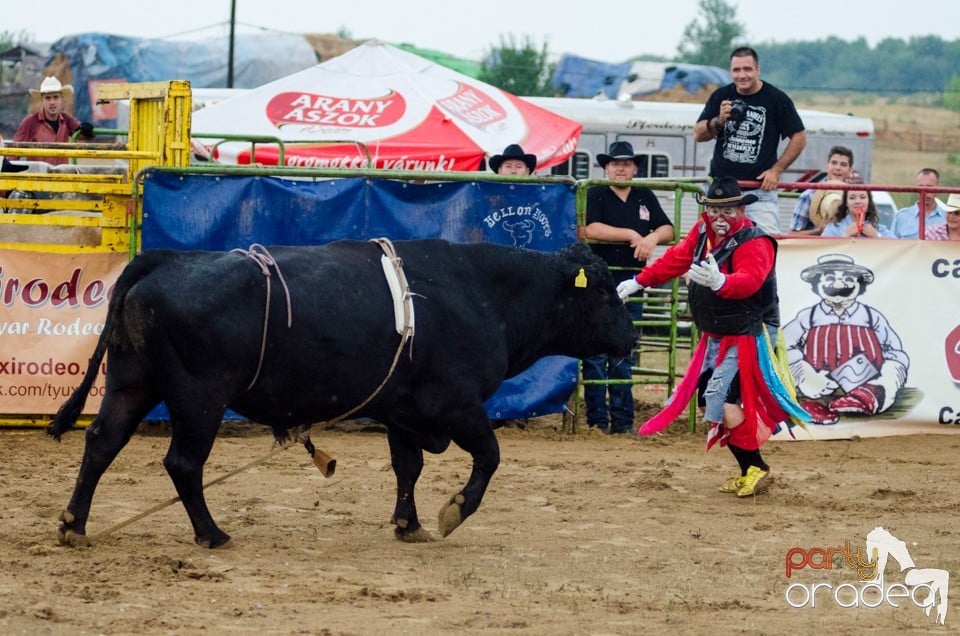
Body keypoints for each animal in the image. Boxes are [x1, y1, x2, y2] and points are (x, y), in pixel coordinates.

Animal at [50, 238, 636, 548]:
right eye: (607, 292)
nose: (632, 339)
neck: (482, 292)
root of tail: (168, 258)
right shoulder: (456, 405)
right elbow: (489, 456)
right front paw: (453, 511)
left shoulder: (402, 411)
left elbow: (407, 467)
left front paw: (408, 524)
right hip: (199, 400)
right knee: (183, 464)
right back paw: (212, 533)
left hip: (132, 384)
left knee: (101, 444)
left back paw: (75, 524)